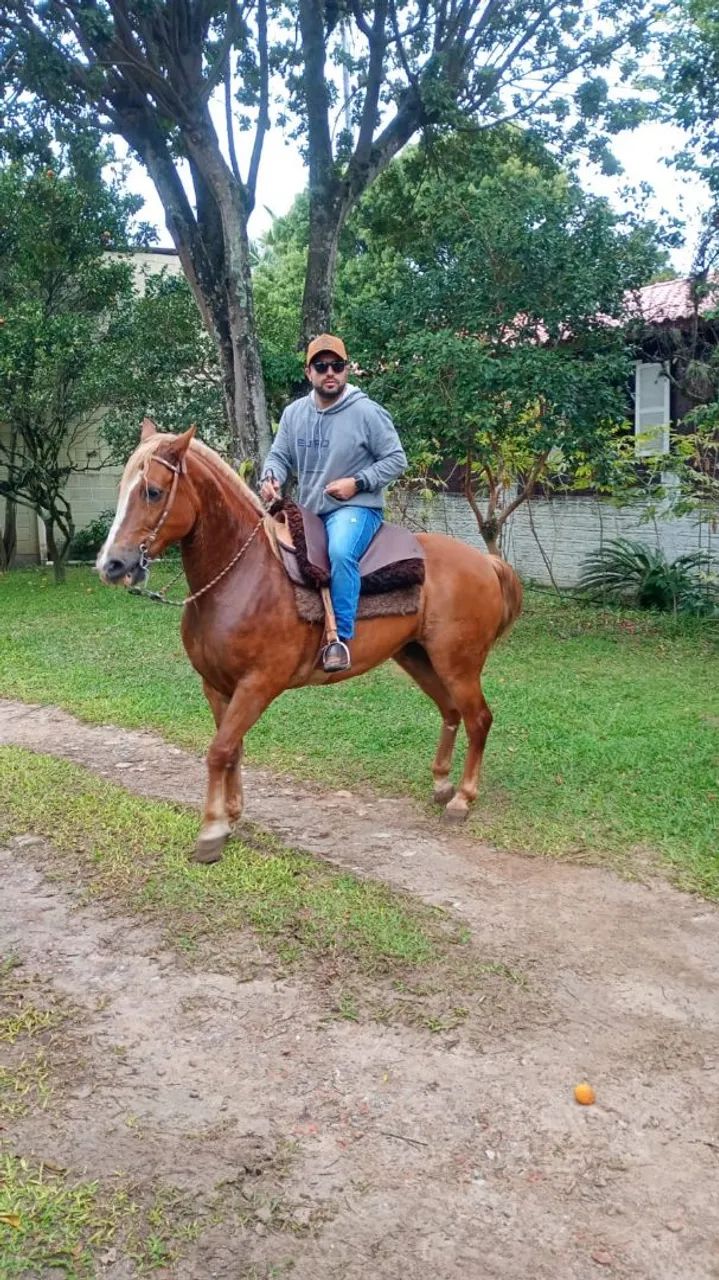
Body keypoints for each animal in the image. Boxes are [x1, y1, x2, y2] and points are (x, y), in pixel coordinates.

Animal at [97, 420, 522, 863]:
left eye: (152, 491)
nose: (112, 564)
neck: (242, 577)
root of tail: (485, 562)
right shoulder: (215, 686)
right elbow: (232, 749)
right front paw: (231, 815)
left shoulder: (258, 685)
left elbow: (219, 751)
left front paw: (211, 831)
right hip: (417, 657)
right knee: (451, 711)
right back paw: (441, 784)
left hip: (459, 663)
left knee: (479, 719)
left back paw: (462, 799)